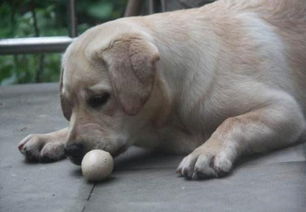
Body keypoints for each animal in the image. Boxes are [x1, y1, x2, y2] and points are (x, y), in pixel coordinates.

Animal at [17, 0, 306, 179]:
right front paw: (51, 137)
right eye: (68, 105)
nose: (73, 150)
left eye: (99, 99)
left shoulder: (285, 109)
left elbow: (232, 121)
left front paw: (207, 151)